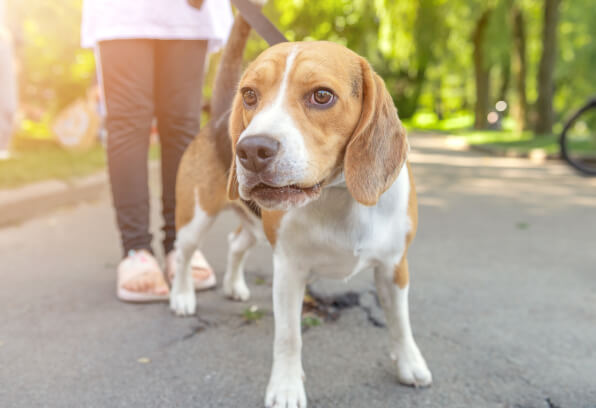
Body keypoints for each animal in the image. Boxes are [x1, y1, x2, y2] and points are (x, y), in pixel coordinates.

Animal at [170, 26, 430, 408]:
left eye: (322, 96)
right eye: (250, 95)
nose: (250, 150)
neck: (337, 195)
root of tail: (216, 116)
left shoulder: (394, 266)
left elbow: (400, 321)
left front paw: (410, 363)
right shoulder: (289, 271)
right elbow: (289, 337)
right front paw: (286, 388)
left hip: (252, 226)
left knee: (236, 243)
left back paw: (233, 286)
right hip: (195, 218)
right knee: (183, 254)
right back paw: (182, 297)